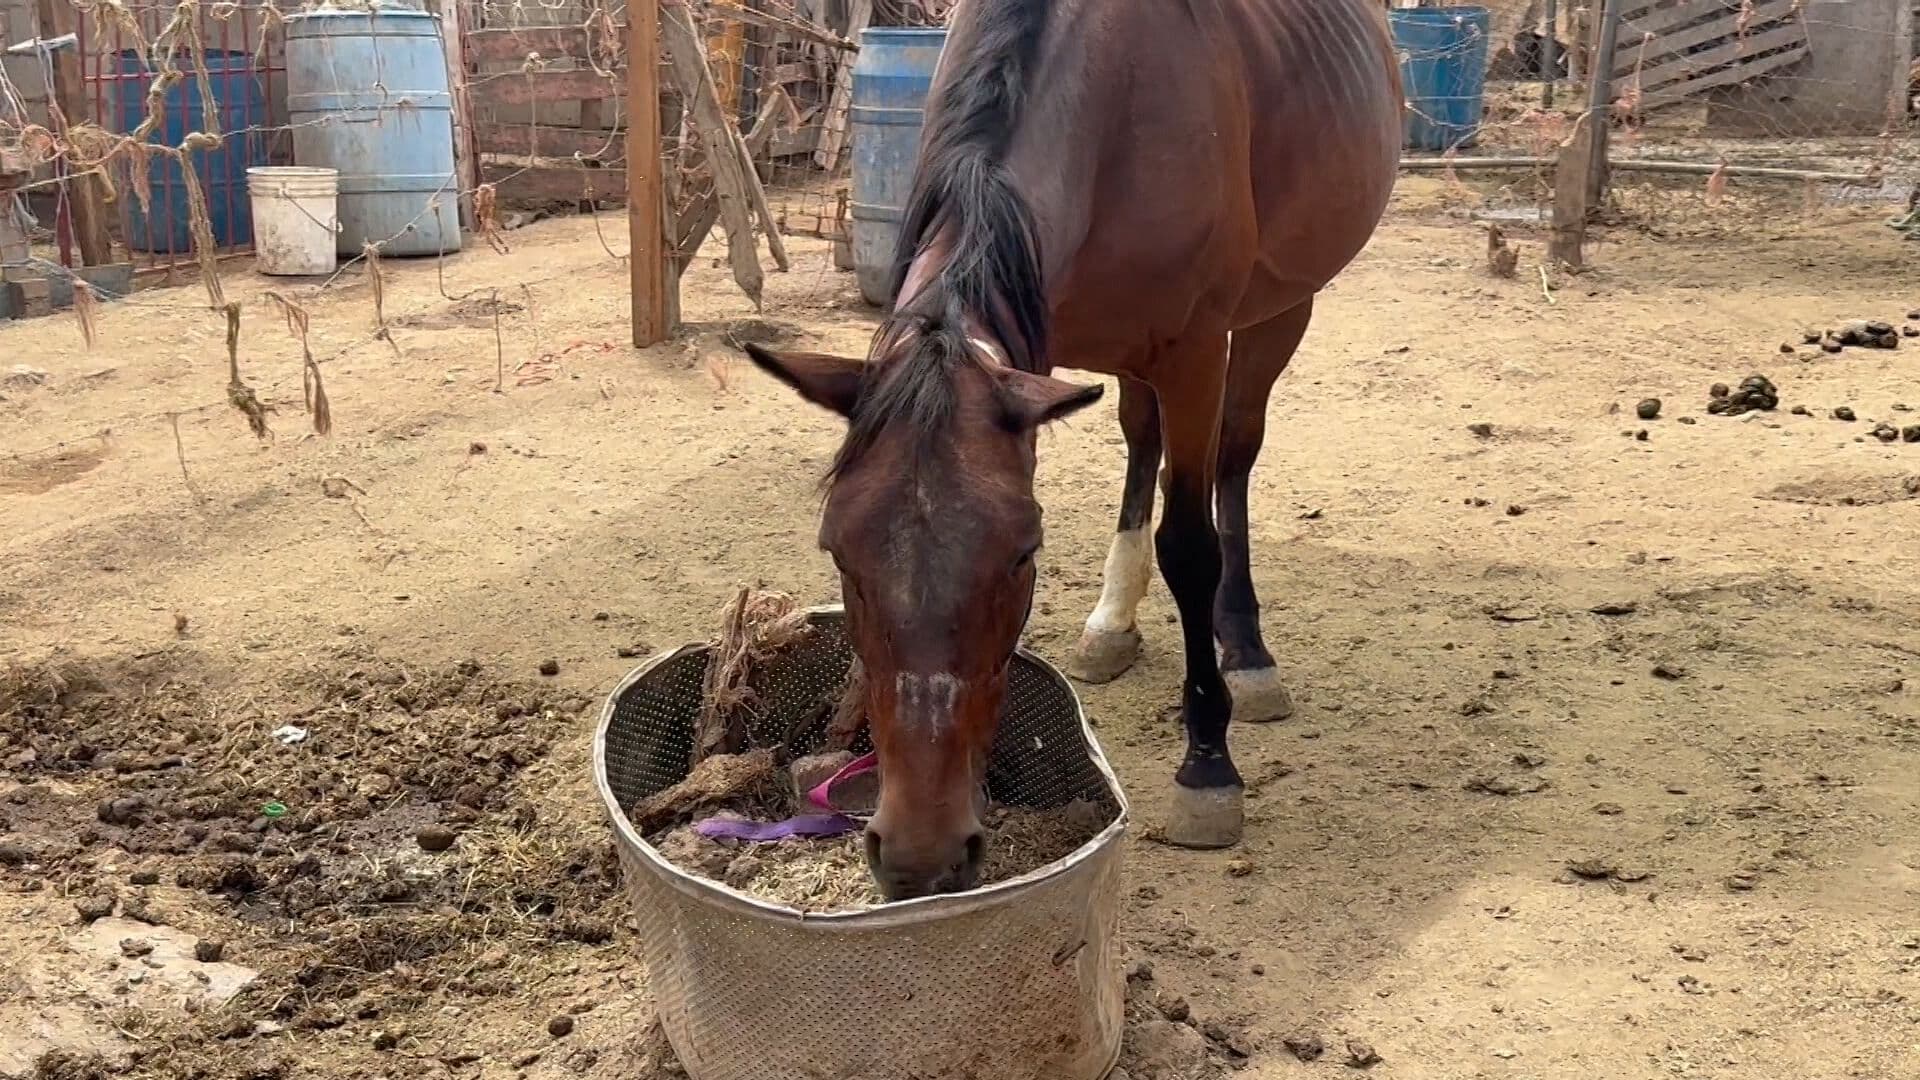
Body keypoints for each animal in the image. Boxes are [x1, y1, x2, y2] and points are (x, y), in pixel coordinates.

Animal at [746, 0, 1402, 900]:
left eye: (1024, 555)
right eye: (838, 554)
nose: (920, 851)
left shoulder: (1195, 352)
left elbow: (1189, 544)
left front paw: (1208, 769)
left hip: (1279, 309)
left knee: (1235, 459)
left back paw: (1246, 649)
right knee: (1143, 442)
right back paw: (1112, 623)